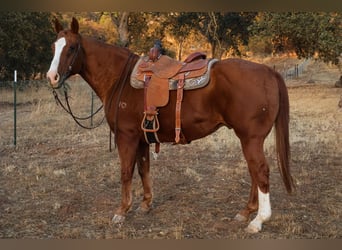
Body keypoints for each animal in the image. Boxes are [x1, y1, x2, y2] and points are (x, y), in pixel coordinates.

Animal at [46, 18, 296, 234]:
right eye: (54, 47)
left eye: (72, 48)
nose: (52, 77)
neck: (120, 79)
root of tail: (269, 71)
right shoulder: (142, 138)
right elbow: (143, 168)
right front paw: (146, 204)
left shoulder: (126, 136)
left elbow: (126, 172)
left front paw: (121, 211)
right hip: (249, 139)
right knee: (254, 172)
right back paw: (246, 212)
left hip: (250, 138)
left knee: (260, 172)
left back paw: (258, 220)